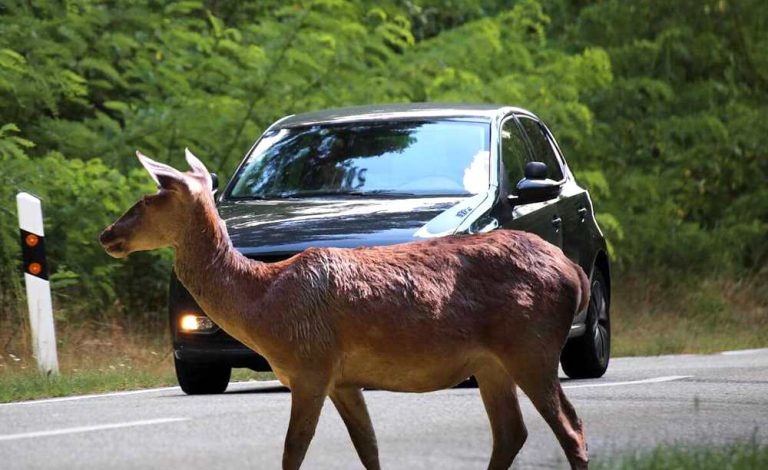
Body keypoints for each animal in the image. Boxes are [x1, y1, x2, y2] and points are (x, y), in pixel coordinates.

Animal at [99, 151, 592, 470]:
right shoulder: (342, 379)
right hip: (492, 363)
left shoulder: (310, 365)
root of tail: (574, 271)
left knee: (570, 428)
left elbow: (292, 451)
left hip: (530, 344)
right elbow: (368, 449)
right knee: (512, 433)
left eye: (149, 199)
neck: (263, 304)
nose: (107, 234)